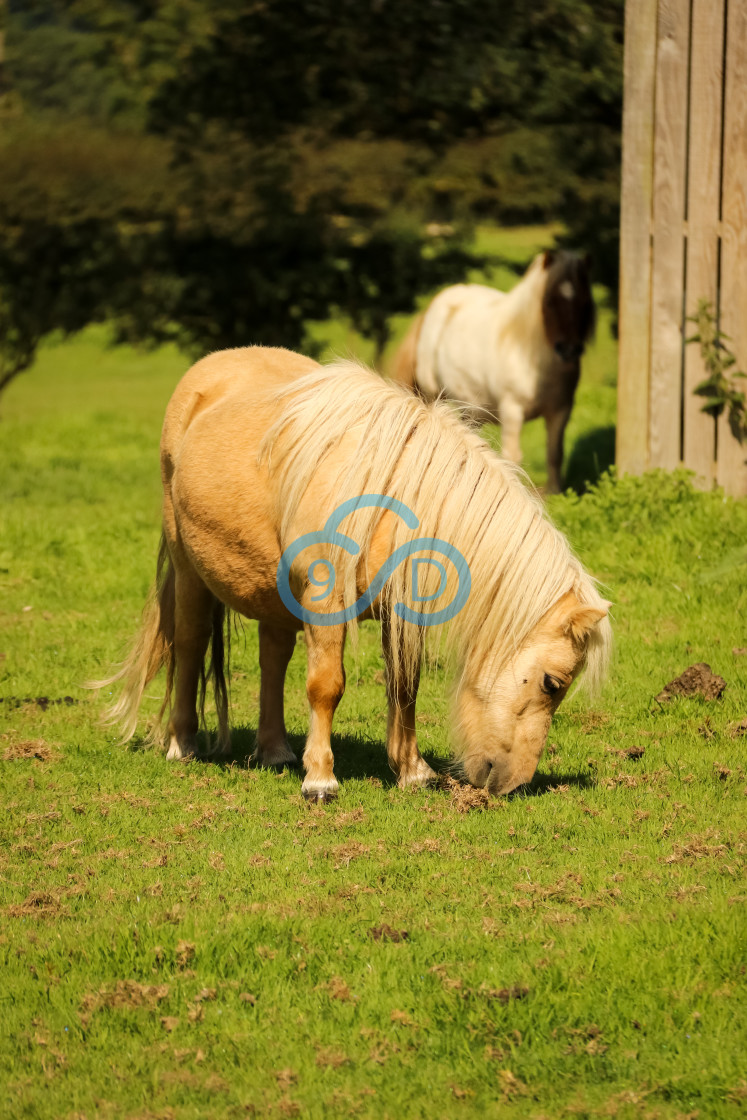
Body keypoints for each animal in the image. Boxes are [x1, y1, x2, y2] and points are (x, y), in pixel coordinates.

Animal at [99, 344, 609, 801]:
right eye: (552, 683)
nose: (510, 782)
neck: (388, 495)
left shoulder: (401, 611)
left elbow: (404, 686)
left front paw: (413, 772)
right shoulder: (326, 601)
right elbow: (326, 686)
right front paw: (320, 781)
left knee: (273, 656)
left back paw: (275, 750)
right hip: (188, 569)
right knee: (190, 643)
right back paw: (182, 744)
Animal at [391, 252, 595, 492]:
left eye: (585, 302)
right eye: (549, 301)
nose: (569, 350)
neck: (532, 358)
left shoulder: (561, 411)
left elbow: (555, 454)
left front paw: (554, 493)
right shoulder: (512, 410)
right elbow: (512, 457)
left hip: (472, 410)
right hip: (432, 395)